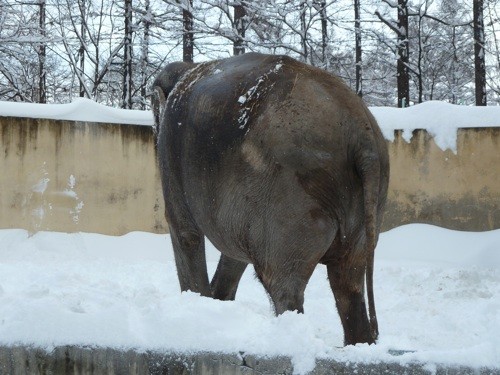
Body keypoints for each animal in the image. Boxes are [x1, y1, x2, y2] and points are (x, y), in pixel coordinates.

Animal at [152, 53, 390, 346]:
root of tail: (363, 136)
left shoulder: (170, 149)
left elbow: (185, 232)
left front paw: (199, 306)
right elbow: (234, 252)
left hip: (290, 200)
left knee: (281, 283)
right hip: (367, 203)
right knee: (348, 282)